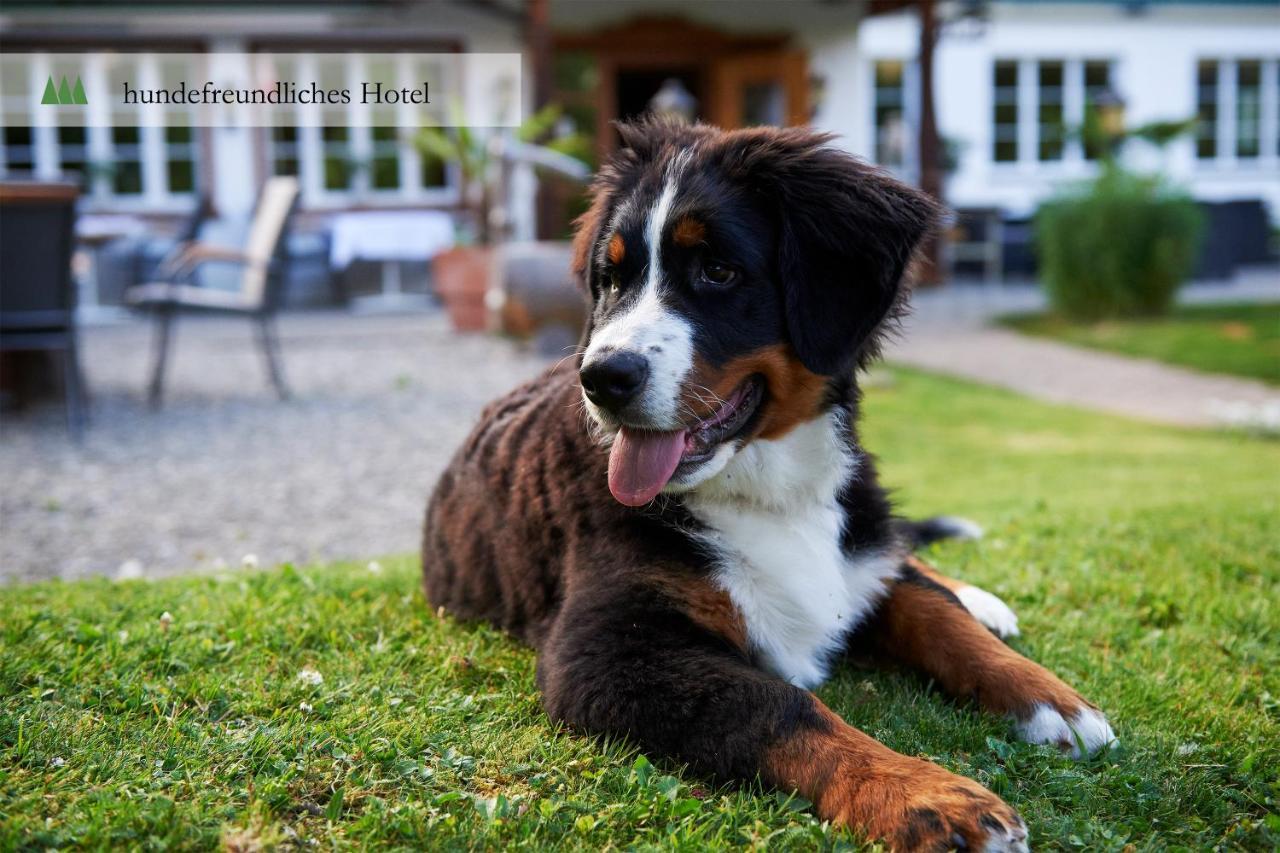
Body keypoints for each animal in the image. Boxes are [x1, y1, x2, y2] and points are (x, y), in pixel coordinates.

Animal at [424, 121, 1116, 850]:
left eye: (718, 270)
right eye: (610, 279)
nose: (603, 378)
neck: (770, 490)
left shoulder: (857, 557)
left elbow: (935, 614)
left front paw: (1052, 698)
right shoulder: (604, 653)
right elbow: (781, 704)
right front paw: (926, 797)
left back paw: (983, 600)